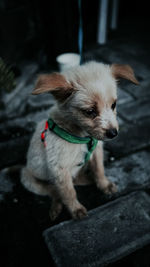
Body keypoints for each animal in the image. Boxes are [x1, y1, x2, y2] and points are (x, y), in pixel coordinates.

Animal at [20, 61, 138, 221]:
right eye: (90, 112)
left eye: (113, 105)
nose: (113, 133)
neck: (82, 137)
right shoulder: (59, 169)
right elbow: (68, 192)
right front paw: (75, 209)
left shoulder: (96, 151)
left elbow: (99, 169)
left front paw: (104, 184)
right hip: (29, 180)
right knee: (53, 191)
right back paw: (56, 207)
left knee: (74, 180)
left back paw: (87, 179)